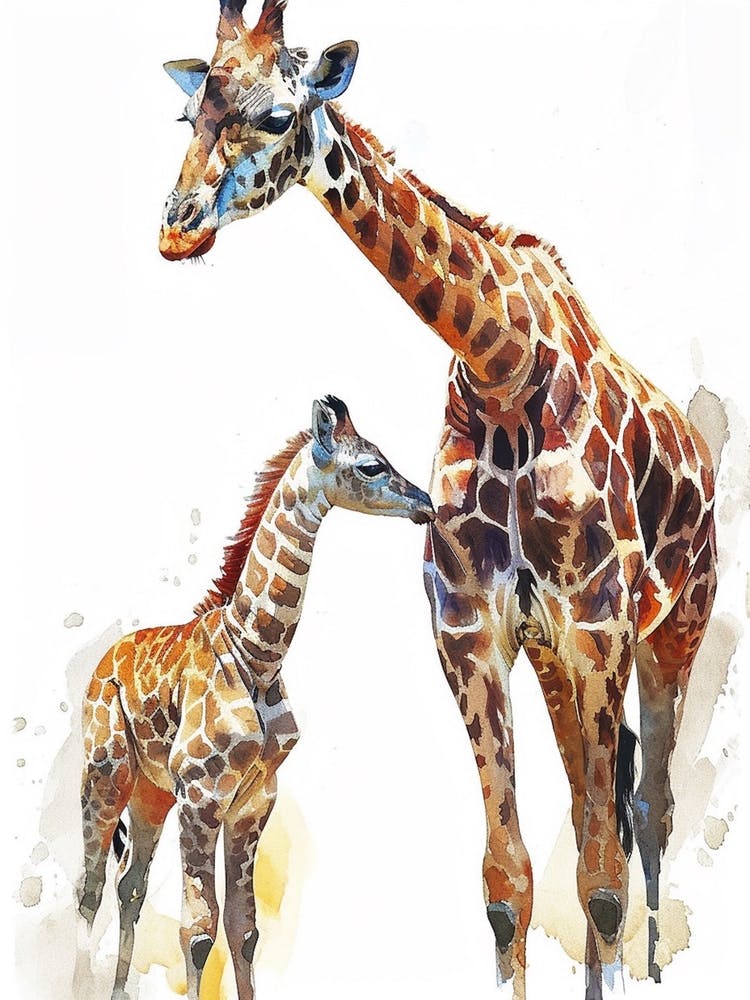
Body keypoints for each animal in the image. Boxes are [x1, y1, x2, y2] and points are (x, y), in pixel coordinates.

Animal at [78, 395, 434, 1000]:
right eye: (370, 466)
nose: (426, 504)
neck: (257, 653)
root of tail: (103, 662)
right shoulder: (202, 797)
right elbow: (199, 931)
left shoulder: (252, 800)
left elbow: (244, 931)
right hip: (106, 773)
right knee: (90, 887)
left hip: (151, 792)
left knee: (129, 886)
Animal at [157, 3, 718, 996]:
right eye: (192, 114)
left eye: (275, 114)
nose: (177, 228)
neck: (502, 361)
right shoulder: (473, 633)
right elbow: (510, 880)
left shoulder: (597, 625)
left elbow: (603, 878)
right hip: (561, 662)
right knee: (600, 807)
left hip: (671, 631)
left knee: (647, 813)